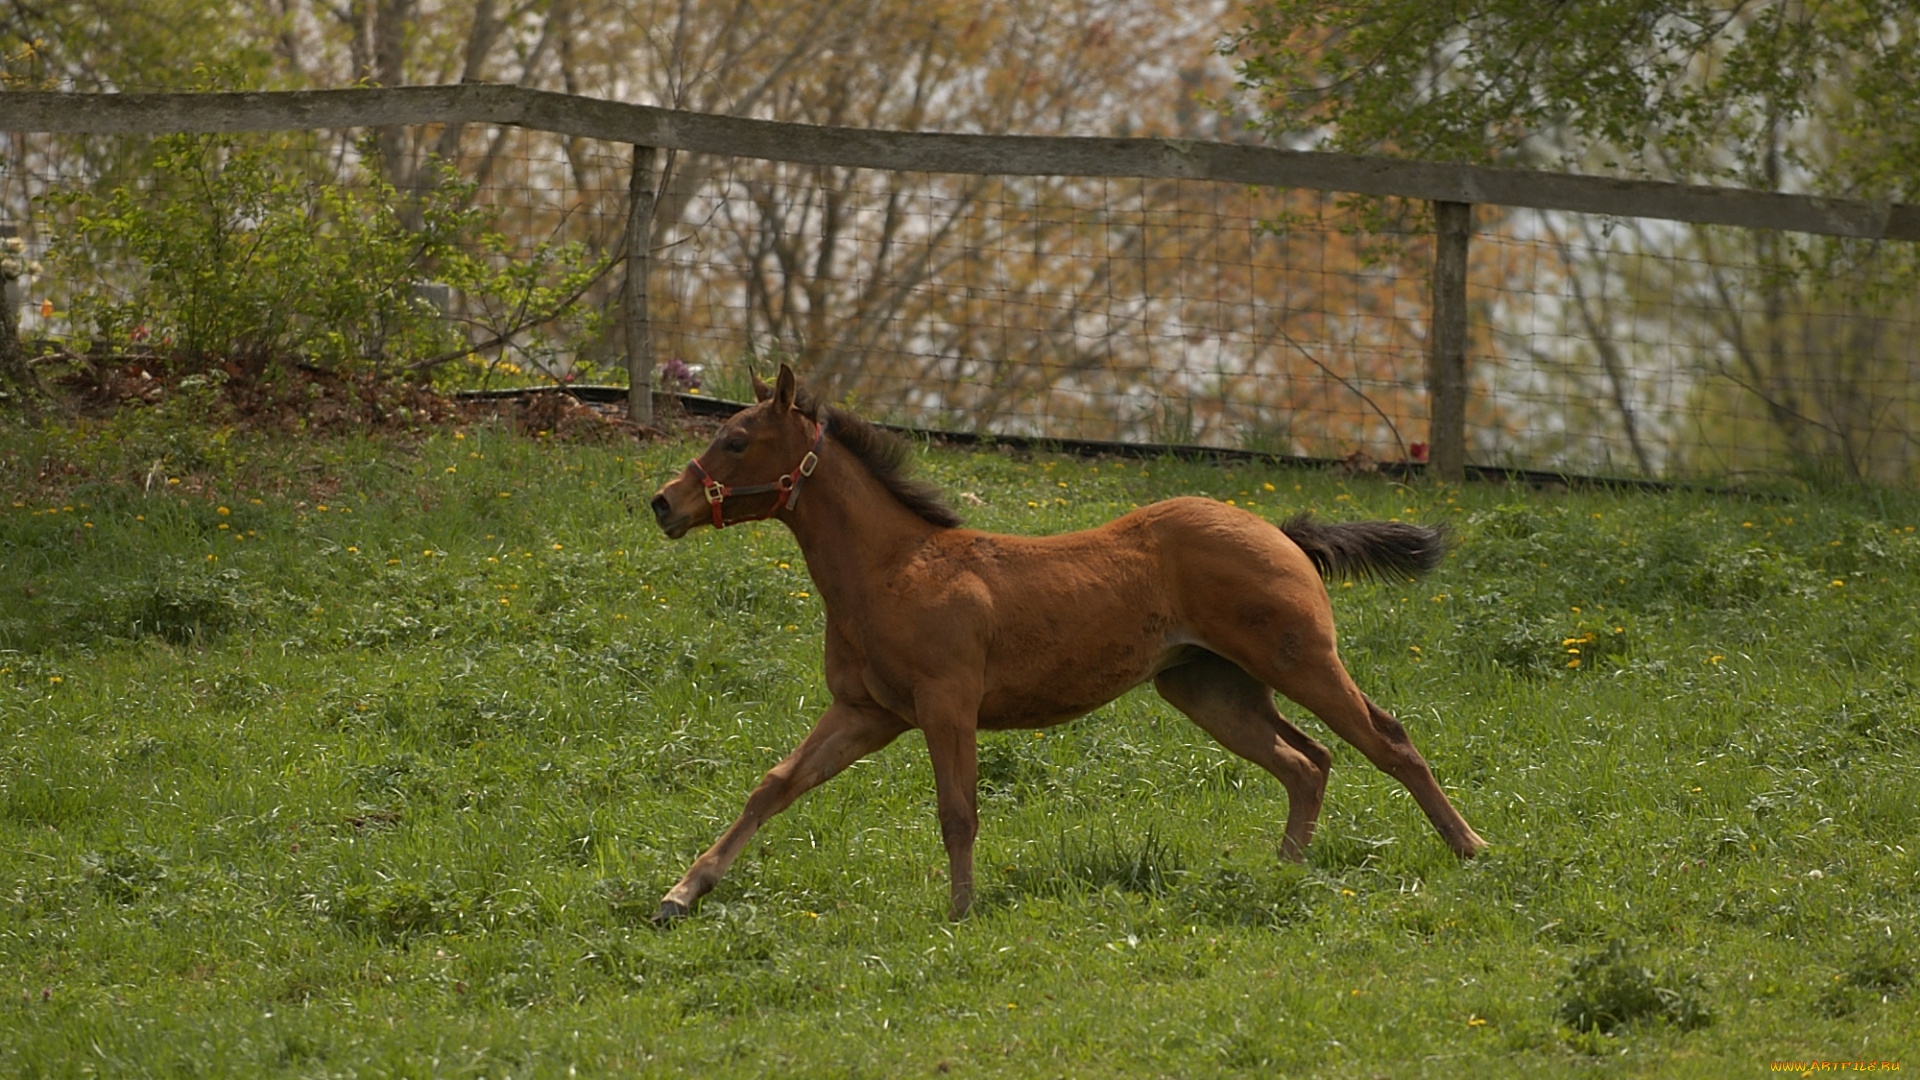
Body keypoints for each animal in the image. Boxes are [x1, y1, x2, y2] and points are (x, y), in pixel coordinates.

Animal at [645, 363, 1482, 914]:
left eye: (738, 440)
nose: (663, 503)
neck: (894, 571)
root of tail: (1279, 531)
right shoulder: (867, 712)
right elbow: (776, 784)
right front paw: (682, 893)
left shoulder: (947, 705)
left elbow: (957, 811)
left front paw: (962, 914)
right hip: (1210, 686)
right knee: (1308, 762)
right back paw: (1283, 873)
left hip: (1300, 660)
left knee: (1387, 739)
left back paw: (1472, 850)